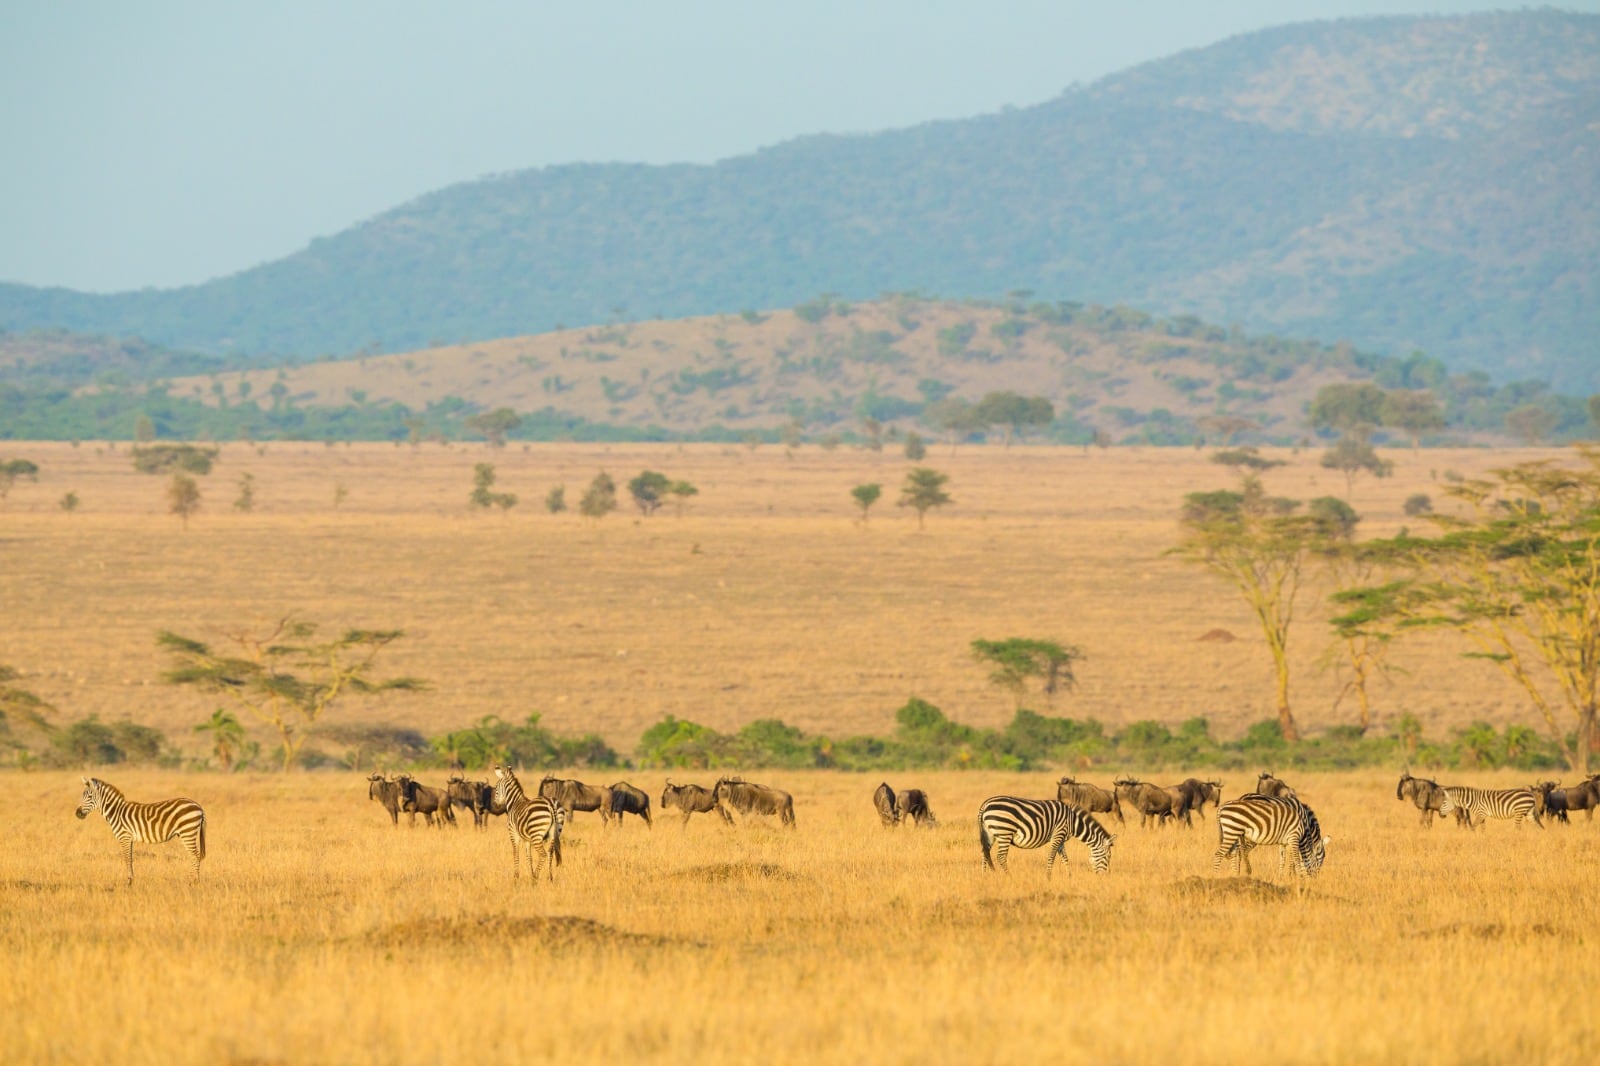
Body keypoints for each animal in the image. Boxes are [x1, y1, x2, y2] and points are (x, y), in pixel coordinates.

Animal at [74, 776, 206, 886]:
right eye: (82, 795)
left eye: (89, 796)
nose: (77, 813)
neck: (116, 812)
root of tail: (198, 805)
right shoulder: (129, 839)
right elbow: (131, 858)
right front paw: (131, 880)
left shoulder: (124, 837)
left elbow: (127, 858)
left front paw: (129, 882)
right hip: (185, 833)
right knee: (193, 855)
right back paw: (192, 880)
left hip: (187, 832)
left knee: (195, 855)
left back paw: (194, 881)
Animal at [977, 796, 1115, 875]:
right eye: (1107, 857)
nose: (1106, 876)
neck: (1072, 822)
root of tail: (985, 804)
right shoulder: (1058, 834)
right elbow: (1051, 857)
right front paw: (1048, 877)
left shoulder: (1061, 839)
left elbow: (1065, 858)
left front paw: (1069, 876)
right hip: (1004, 832)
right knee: (1000, 857)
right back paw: (1008, 876)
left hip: (990, 833)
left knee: (985, 853)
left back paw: (985, 876)